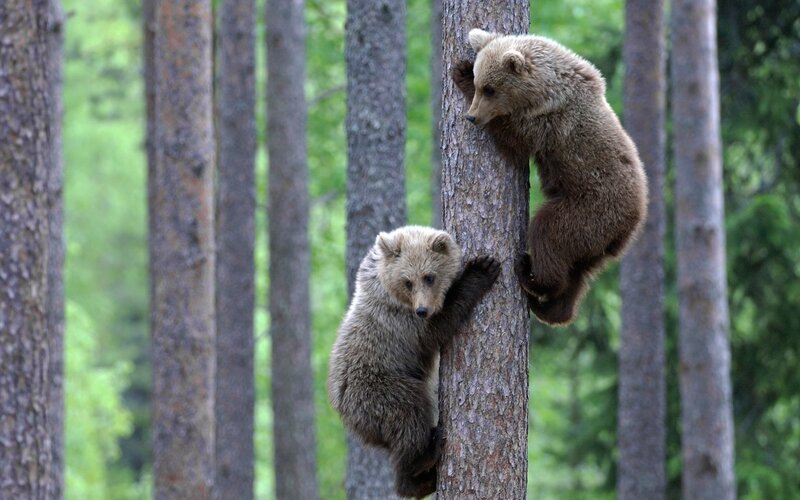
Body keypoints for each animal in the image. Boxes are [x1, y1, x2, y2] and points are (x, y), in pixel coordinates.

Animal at [327, 225, 501, 498]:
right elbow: (439, 326)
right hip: (378, 389)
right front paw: (481, 269)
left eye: (429, 277)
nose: (422, 310)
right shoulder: (402, 323)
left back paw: (424, 479)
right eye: (407, 281)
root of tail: (342, 408)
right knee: (409, 413)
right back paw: (424, 457)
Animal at [452, 28, 648, 326]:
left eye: (489, 88)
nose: (472, 117)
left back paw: (530, 275)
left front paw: (459, 72)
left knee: (549, 233)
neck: (545, 90)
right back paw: (551, 308)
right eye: (481, 82)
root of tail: (631, 224)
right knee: (578, 272)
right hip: (595, 242)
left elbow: (514, 144)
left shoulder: (548, 125)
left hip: (589, 210)